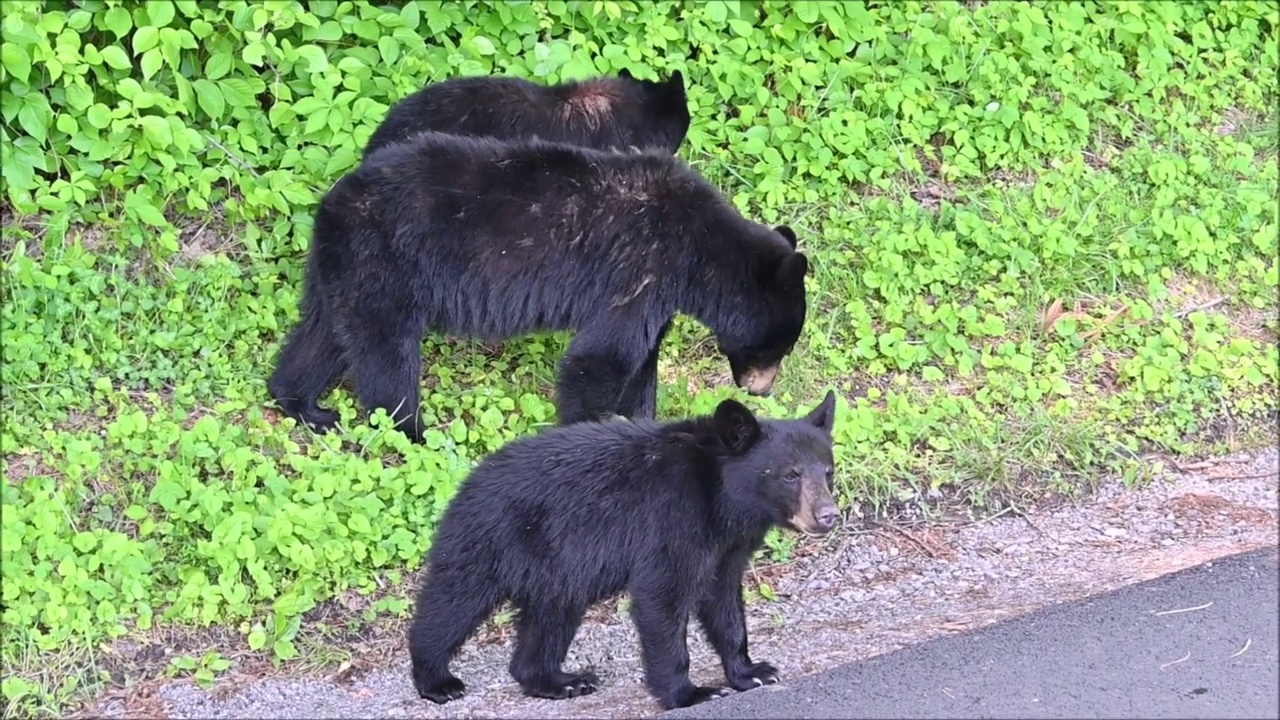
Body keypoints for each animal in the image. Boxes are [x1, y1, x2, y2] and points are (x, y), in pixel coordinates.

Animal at [268, 130, 808, 443]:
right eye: (778, 347)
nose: (762, 389)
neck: (698, 250)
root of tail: (330, 201)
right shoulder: (640, 269)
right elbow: (598, 361)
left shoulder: (655, 293)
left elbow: (641, 364)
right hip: (386, 265)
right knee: (386, 353)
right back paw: (415, 430)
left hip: (342, 269)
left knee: (323, 335)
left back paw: (303, 404)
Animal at [407, 386, 839, 707]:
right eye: (789, 474)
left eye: (828, 472)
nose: (828, 515)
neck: (721, 497)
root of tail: (468, 479)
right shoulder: (673, 521)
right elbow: (662, 598)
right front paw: (690, 693)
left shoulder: (726, 547)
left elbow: (724, 604)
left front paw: (752, 672)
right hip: (488, 539)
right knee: (452, 603)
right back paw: (437, 681)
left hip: (555, 568)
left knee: (550, 618)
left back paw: (559, 681)